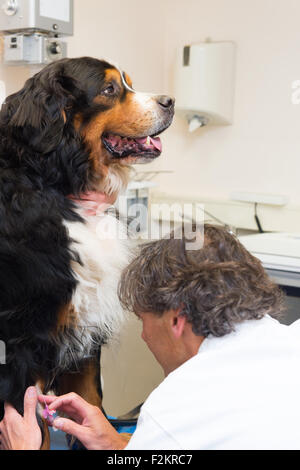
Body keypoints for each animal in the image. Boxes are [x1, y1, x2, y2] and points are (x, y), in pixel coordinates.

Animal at [0, 56, 175, 448]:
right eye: (109, 89)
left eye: (128, 82)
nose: (170, 101)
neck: (57, 185)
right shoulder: (23, 348)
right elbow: (36, 432)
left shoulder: (84, 331)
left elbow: (91, 403)